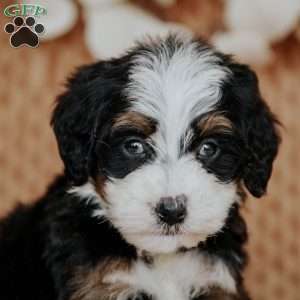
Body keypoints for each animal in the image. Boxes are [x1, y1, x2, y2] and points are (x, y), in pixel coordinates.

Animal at [1, 34, 280, 300]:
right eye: (133, 146)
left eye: (209, 148)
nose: (171, 210)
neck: (161, 257)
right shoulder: (96, 286)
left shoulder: (216, 281)